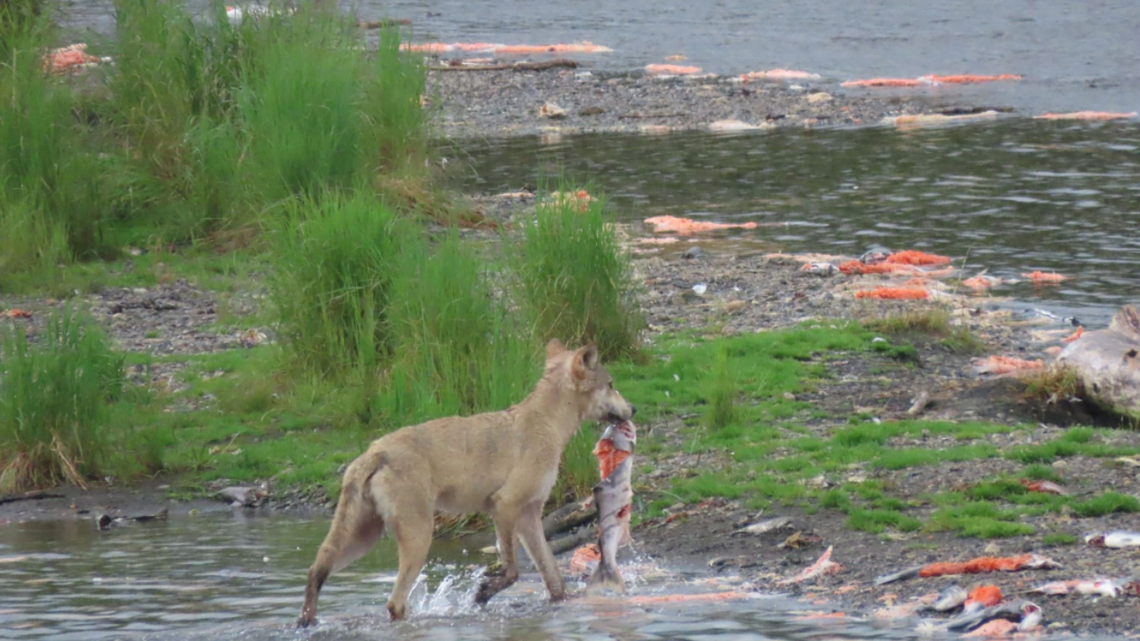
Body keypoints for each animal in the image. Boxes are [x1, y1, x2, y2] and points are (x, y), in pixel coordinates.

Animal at [298, 339, 635, 627]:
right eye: (611, 385)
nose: (633, 409)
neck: (548, 424)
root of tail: (375, 452)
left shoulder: (529, 515)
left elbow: (554, 579)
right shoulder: (505, 506)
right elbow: (512, 571)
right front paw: (482, 594)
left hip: (362, 539)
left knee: (315, 572)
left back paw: (306, 622)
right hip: (418, 537)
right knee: (394, 604)